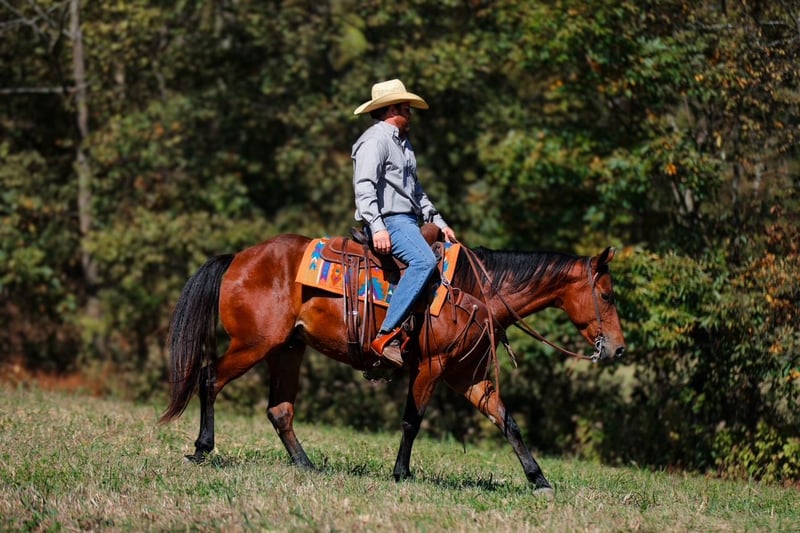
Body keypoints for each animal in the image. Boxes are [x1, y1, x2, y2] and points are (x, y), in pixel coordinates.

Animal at [159, 226, 626, 495]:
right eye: (607, 295)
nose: (618, 349)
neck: (476, 291)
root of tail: (237, 258)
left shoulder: (469, 376)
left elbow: (507, 421)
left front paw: (539, 479)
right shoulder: (431, 366)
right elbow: (411, 421)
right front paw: (401, 473)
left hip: (287, 350)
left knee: (280, 410)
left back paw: (307, 466)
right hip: (254, 344)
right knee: (209, 379)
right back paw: (202, 449)